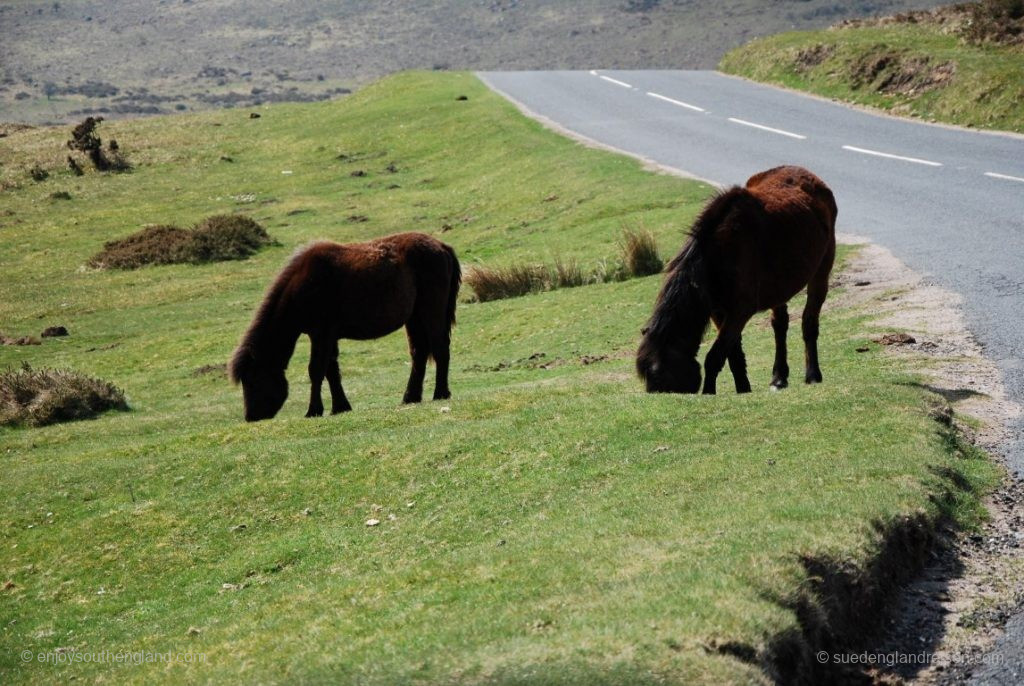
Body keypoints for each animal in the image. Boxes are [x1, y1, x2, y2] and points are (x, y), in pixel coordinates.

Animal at [232, 233, 460, 421]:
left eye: (253, 380)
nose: (251, 417)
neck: (303, 285)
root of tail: (442, 246)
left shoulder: (321, 334)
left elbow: (316, 370)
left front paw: (313, 410)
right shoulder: (328, 337)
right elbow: (331, 370)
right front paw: (340, 406)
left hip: (430, 312)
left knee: (440, 348)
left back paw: (440, 393)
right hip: (414, 318)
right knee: (419, 353)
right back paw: (410, 397)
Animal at [634, 165, 835, 397]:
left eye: (663, 379)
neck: (714, 257)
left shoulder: (740, 311)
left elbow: (715, 356)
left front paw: (709, 392)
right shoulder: (719, 312)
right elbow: (733, 353)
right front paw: (743, 388)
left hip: (820, 273)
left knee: (809, 321)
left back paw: (813, 374)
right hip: (779, 289)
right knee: (780, 325)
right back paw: (779, 377)